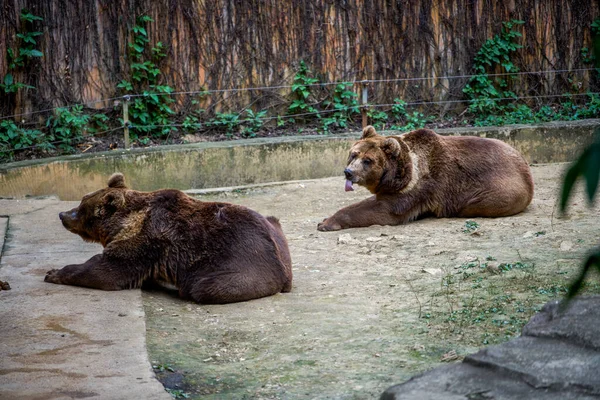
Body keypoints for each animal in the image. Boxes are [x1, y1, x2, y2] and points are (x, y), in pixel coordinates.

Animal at [44, 173, 292, 304]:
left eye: (81, 208)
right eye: (82, 200)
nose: (62, 214)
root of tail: (284, 273)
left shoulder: (145, 241)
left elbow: (107, 270)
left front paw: (54, 273)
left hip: (241, 266)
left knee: (200, 286)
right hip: (275, 230)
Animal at [318, 125, 536, 231]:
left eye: (368, 160)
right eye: (353, 154)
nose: (348, 172)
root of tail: (524, 163)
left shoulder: (417, 188)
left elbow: (383, 210)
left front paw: (326, 223)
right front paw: (324, 219)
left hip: (502, 187)